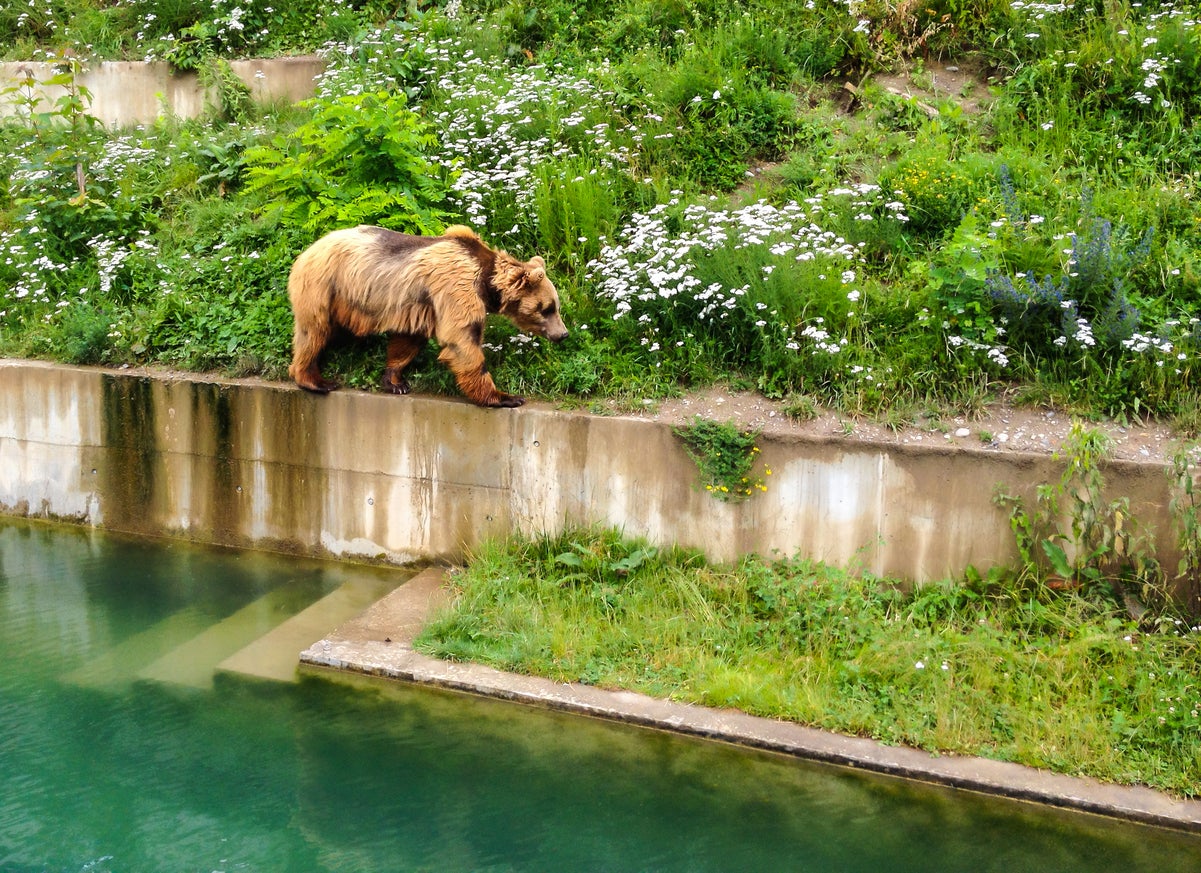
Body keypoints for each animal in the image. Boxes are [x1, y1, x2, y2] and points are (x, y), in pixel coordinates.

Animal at [285, 222, 566, 405]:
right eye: (547, 308)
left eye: (556, 306)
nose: (563, 334)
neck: (487, 281)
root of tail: (307, 250)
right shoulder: (458, 288)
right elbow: (462, 340)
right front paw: (505, 396)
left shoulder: (422, 305)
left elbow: (409, 339)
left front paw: (396, 381)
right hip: (324, 287)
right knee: (314, 332)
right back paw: (316, 380)